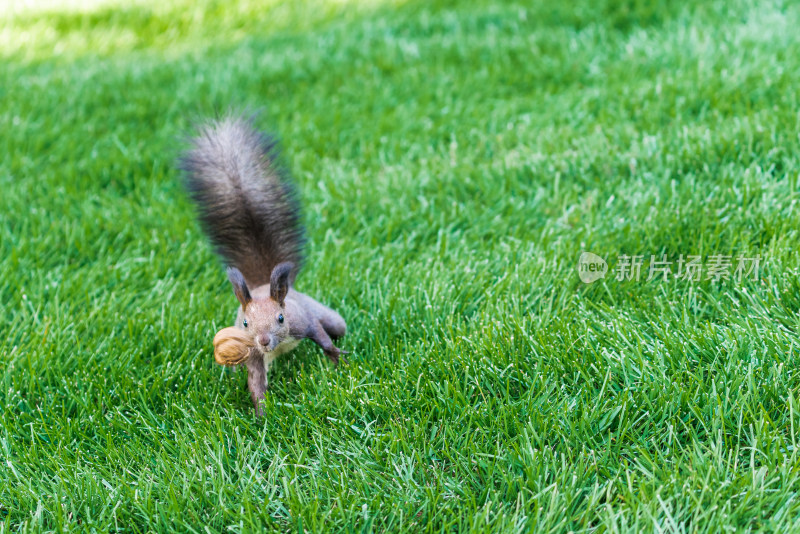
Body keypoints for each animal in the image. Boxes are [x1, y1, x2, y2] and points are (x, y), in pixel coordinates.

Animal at [181, 115, 346, 416]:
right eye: (246, 323)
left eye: (280, 318)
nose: (264, 340)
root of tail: (259, 284)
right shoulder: (253, 353)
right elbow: (256, 383)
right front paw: (262, 416)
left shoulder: (303, 321)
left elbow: (321, 335)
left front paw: (336, 357)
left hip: (324, 314)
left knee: (336, 326)